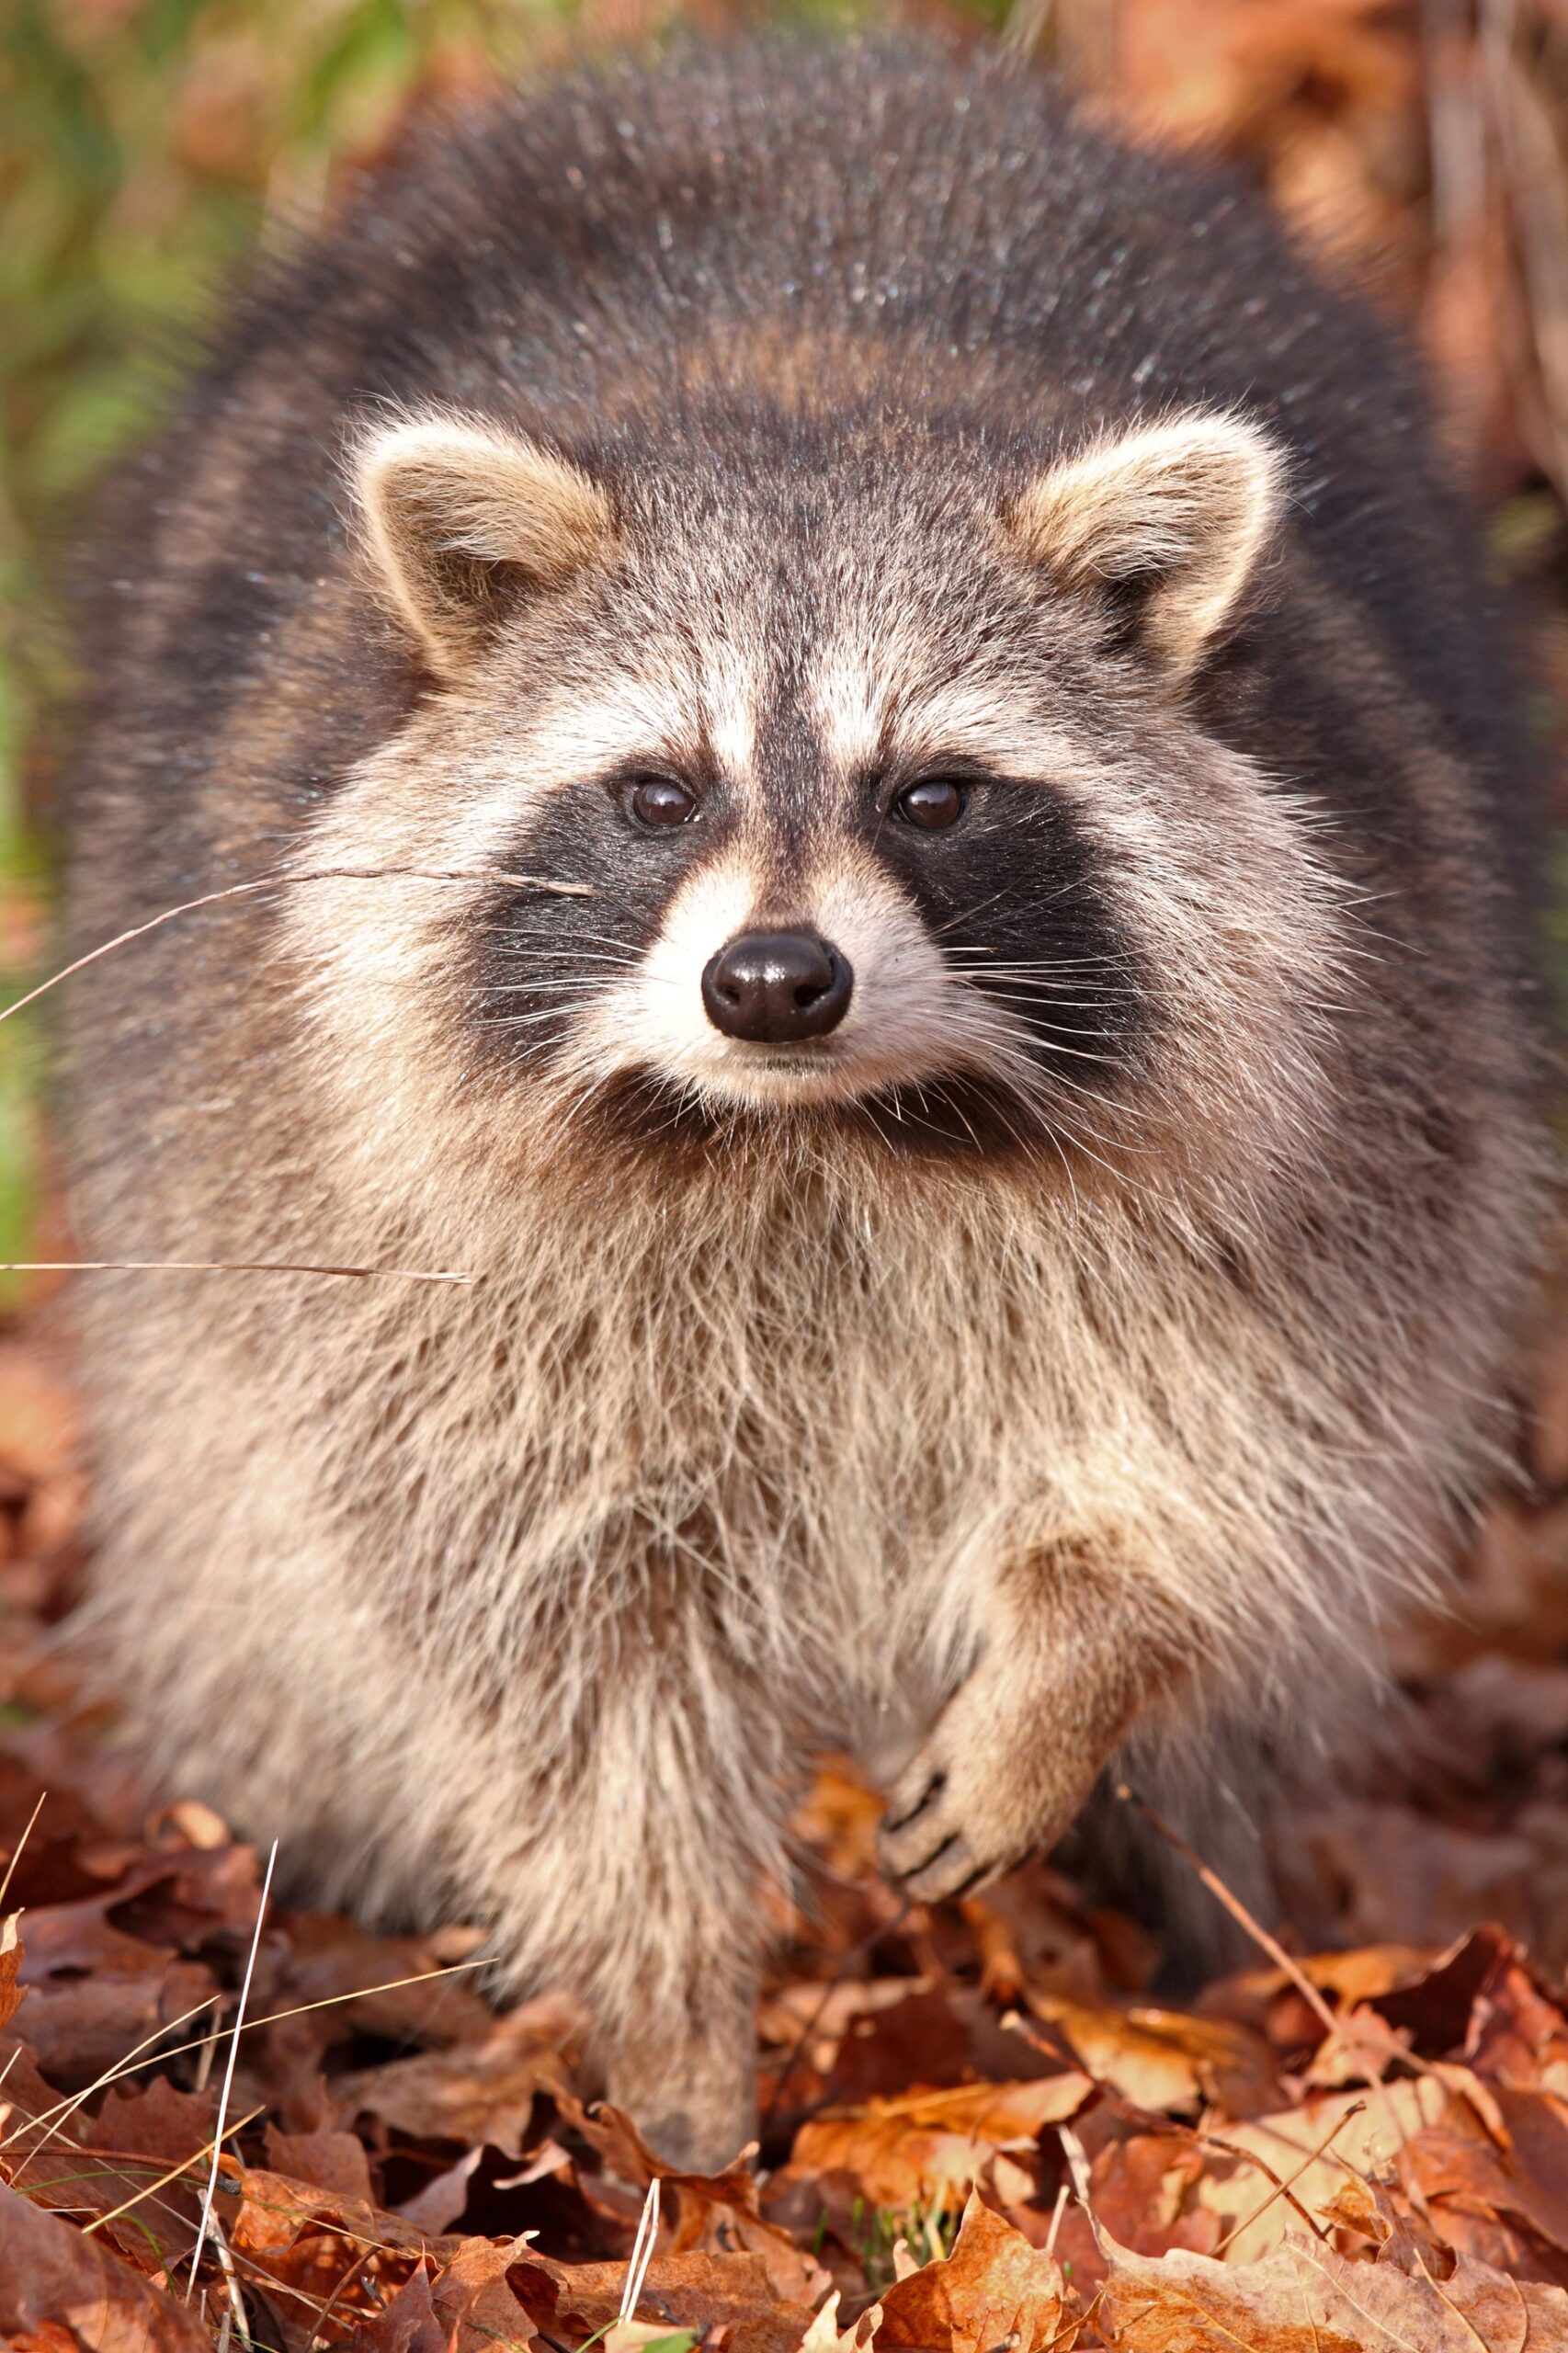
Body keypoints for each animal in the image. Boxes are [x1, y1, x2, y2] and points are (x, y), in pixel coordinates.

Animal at [63, 36, 1540, 2166]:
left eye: (931, 792)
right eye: (654, 789)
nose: (773, 982)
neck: (817, 1134)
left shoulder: (1366, 1087)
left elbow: (1236, 1450)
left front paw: (1071, 1672)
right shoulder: (403, 1256)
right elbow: (552, 1634)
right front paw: (672, 2038)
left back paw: (1183, 1910)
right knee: (244, 1560)